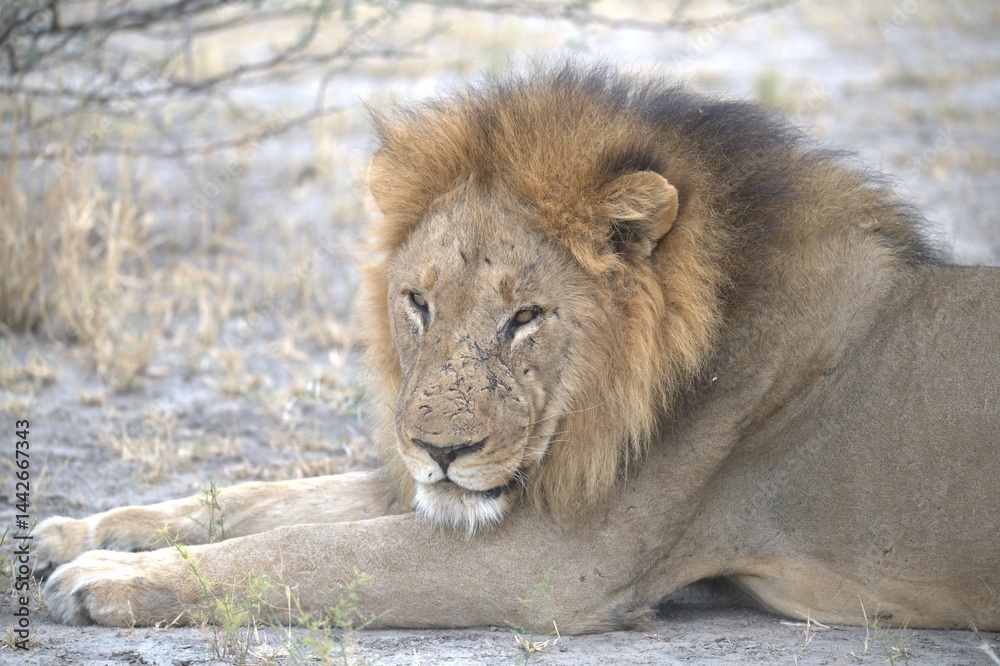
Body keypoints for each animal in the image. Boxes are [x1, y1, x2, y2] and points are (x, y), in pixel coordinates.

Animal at [35, 65, 1000, 634]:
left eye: (526, 317)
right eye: (419, 302)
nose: (439, 450)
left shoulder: (561, 567)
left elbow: (308, 550)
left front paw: (104, 577)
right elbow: (265, 499)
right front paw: (86, 529)